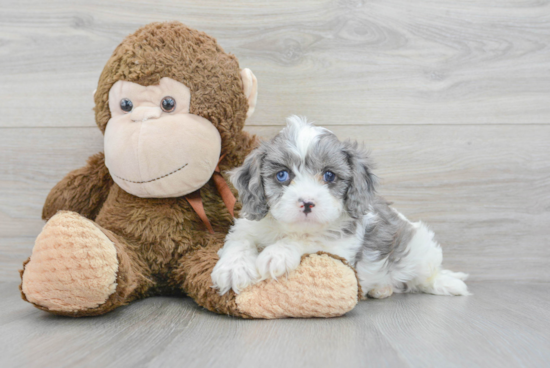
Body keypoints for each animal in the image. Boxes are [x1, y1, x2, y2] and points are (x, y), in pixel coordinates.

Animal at [211, 116, 470, 298]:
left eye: (329, 175)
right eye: (282, 175)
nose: (307, 203)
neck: (289, 228)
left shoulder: (339, 245)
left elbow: (310, 240)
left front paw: (277, 254)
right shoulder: (246, 227)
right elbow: (239, 241)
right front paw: (233, 269)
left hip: (421, 247)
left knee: (425, 276)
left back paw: (446, 283)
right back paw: (381, 289)